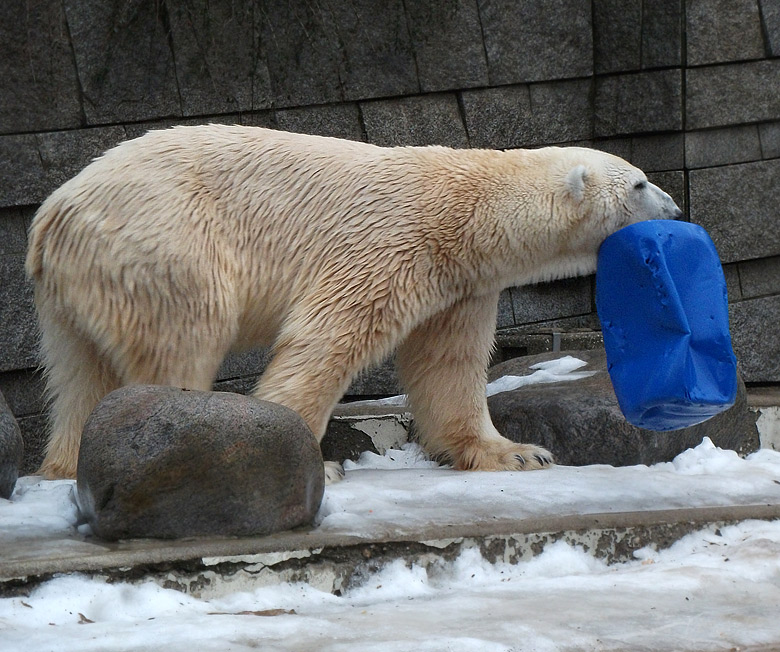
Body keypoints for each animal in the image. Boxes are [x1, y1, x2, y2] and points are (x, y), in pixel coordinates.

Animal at [27, 125, 680, 482]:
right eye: (640, 182)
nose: (675, 207)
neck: (464, 212)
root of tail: (55, 214)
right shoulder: (390, 243)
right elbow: (326, 339)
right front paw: (314, 462)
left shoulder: (460, 284)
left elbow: (448, 365)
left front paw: (518, 453)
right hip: (168, 242)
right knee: (183, 340)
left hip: (79, 290)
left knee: (79, 374)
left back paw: (67, 463)